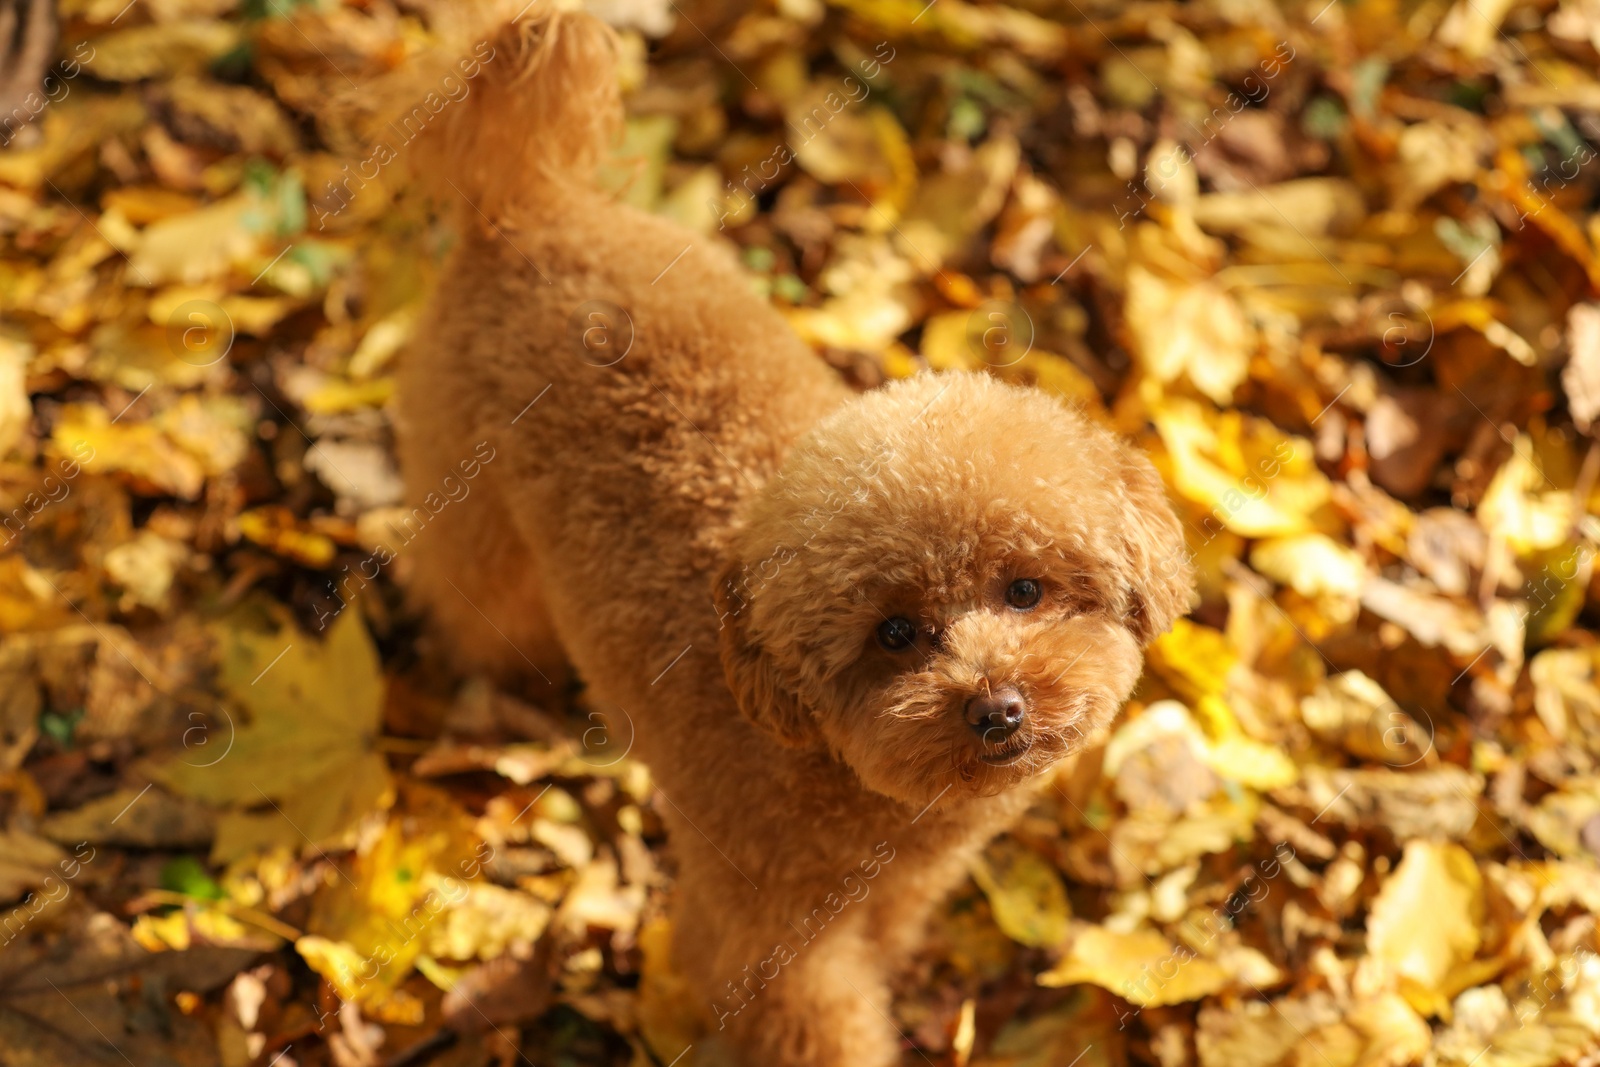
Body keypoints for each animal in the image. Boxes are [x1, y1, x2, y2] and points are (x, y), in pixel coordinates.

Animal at [396, 6, 1203, 1062]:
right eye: (894, 634)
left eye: (1026, 588)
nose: (999, 708)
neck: (833, 768)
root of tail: (522, 204)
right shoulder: (766, 931)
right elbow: (814, 1022)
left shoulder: (903, 882)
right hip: (473, 500)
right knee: (470, 597)